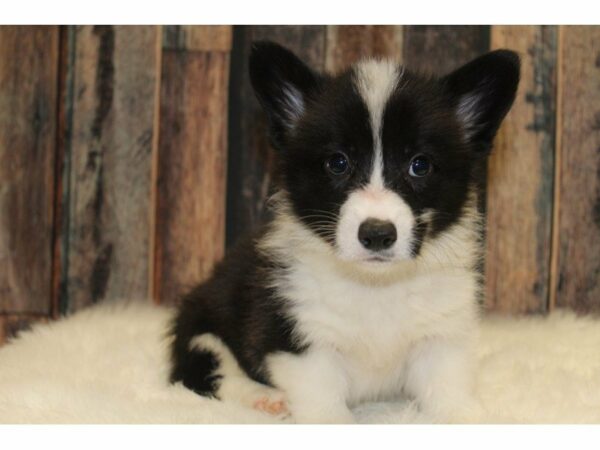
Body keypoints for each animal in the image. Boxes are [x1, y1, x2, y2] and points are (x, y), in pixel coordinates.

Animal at [169, 40, 520, 424]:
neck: (376, 285)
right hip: (200, 319)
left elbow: (449, 391)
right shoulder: (301, 338)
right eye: (338, 163)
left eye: (420, 165)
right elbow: (324, 403)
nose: (378, 234)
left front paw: (468, 416)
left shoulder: (441, 336)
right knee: (207, 369)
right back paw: (265, 397)